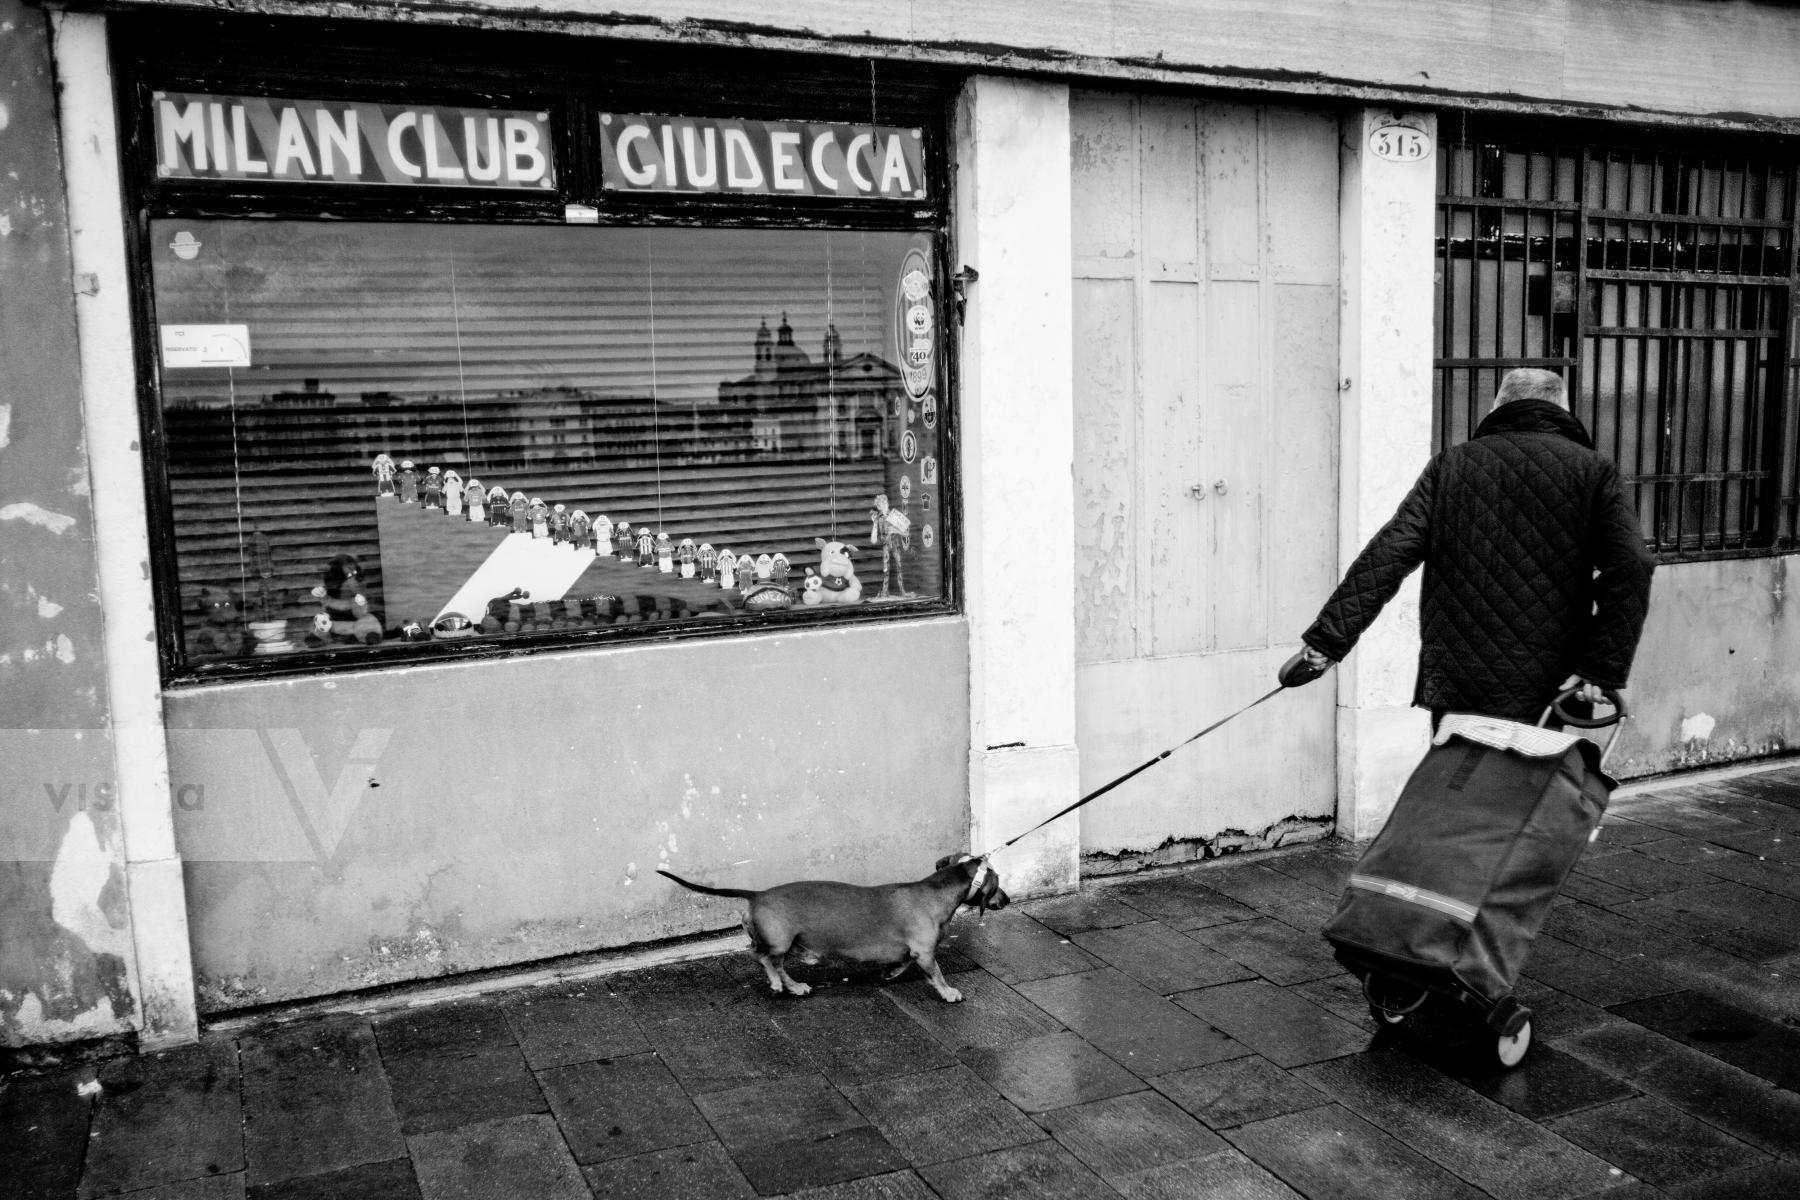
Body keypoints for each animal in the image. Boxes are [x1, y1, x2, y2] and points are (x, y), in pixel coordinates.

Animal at [658, 852, 1008, 1007]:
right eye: (999, 883)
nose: (1006, 899)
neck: (935, 892)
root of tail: (757, 895)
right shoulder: (925, 952)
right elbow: (937, 974)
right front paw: (949, 992)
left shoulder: (913, 952)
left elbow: (902, 961)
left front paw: (891, 972)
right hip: (779, 941)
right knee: (762, 958)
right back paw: (777, 984)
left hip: (788, 943)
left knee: (777, 964)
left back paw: (795, 986)